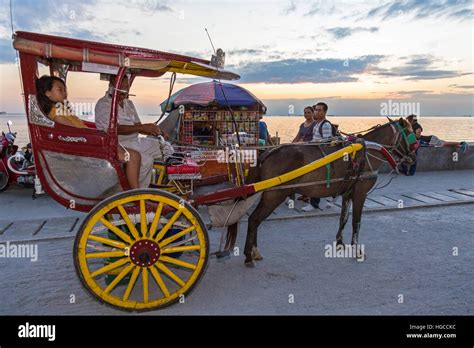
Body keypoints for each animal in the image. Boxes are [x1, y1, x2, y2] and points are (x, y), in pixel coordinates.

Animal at [239, 117, 416, 266]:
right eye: (409, 133)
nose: (413, 157)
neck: (366, 152)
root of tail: (268, 153)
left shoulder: (347, 192)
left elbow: (343, 218)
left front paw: (340, 243)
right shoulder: (360, 193)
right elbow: (356, 222)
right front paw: (357, 250)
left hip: (270, 194)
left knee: (255, 218)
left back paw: (254, 252)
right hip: (275, 195)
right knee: (255, 219)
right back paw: (249, 255)